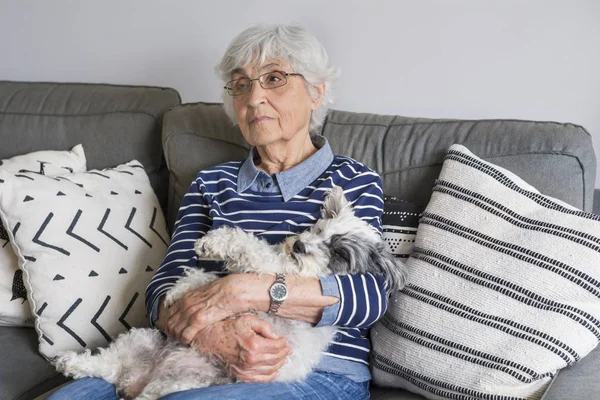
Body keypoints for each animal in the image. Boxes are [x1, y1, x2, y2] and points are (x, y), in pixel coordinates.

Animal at [54, 188, 408, 400]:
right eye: (320, 229)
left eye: (339, 254)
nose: (299, 245)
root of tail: (137, 380)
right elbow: (207, 280)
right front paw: (180, 291)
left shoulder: (272, 271)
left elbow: (249, 248)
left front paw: (215, 243)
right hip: (143, 341)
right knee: (107, 365)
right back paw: (72, 362)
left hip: (181, 384)